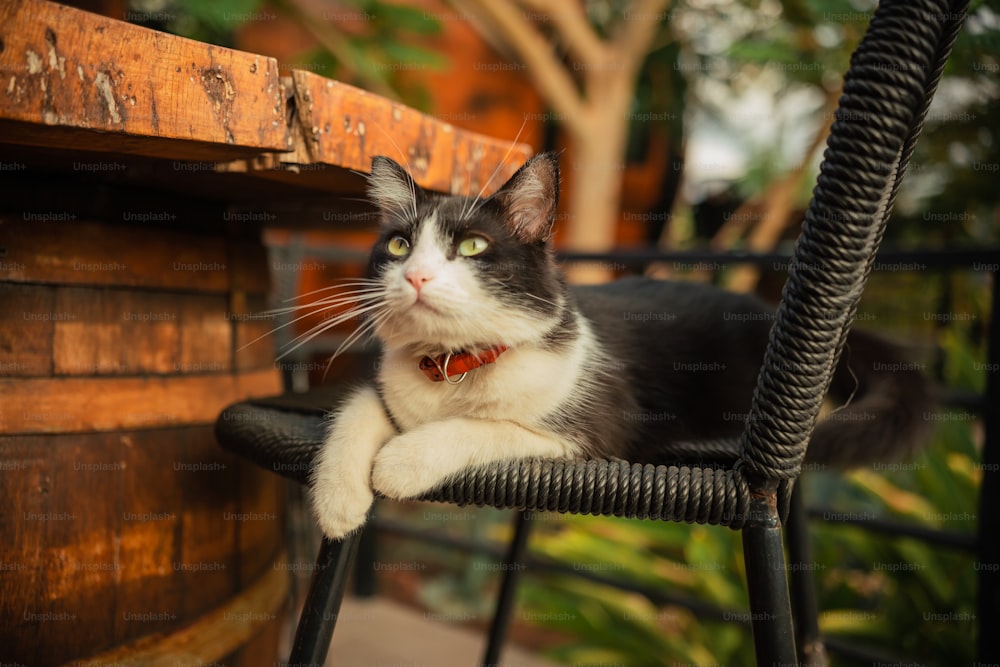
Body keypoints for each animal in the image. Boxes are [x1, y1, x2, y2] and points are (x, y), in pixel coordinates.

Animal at [308, 154, 932, 540]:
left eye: (472, 246)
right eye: (398, 244)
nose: (415, 276)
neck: (455, 363)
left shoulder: (595, 434)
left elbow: (489, 427)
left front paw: (402, 461)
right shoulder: (392, 390)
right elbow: (358, 408)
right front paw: (338, 503)